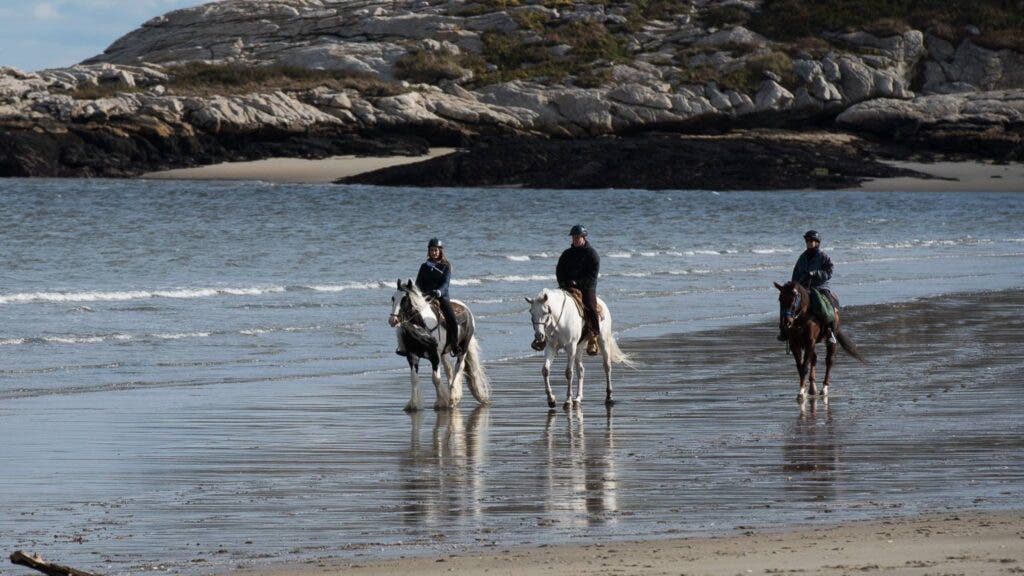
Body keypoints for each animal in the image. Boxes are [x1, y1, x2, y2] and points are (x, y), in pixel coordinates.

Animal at [389, 279, 491, 412]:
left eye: (405, 300)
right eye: (393, 298)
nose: (393, 321)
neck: (422, 327)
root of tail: (465, 308)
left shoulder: (434, 355)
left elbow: (435, 379)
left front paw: (441, 402)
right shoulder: (412, 355)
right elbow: (414, 378)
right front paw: (413, 404)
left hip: (463, 348)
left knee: (459, 367)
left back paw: (453, 397)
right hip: (444, 353)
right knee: (449, 369)